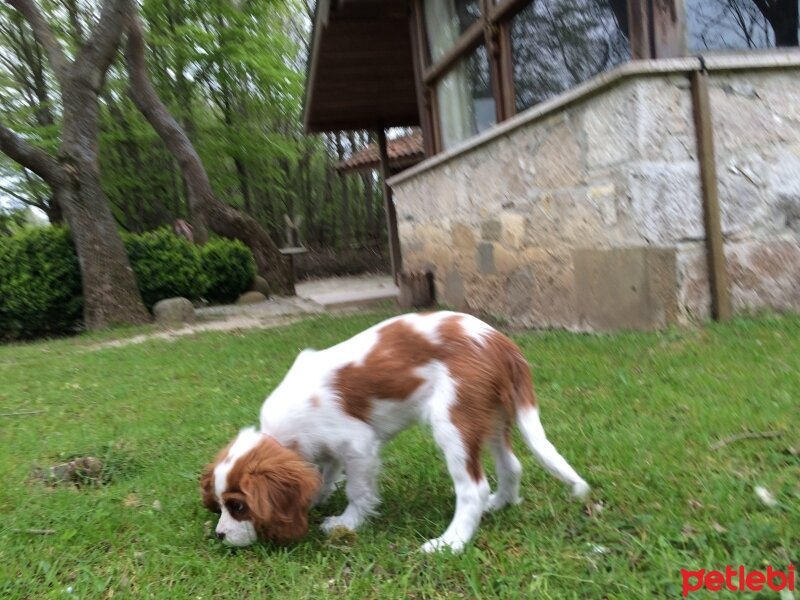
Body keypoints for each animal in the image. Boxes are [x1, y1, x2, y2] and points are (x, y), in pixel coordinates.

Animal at [200, 312, 588, 552]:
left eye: (238, 506)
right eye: (220, 505)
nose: (218, 536)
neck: (283, 435)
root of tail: (501, 344)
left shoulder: (357, 444)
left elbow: (357, 489)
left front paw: (347, 522)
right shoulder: (326, 450)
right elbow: (323, 473)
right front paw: (317, 497)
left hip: (454, 420)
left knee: (473, 488)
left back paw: (450, 543)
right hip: (491, 416)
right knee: (511, 465)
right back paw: (499, 504)